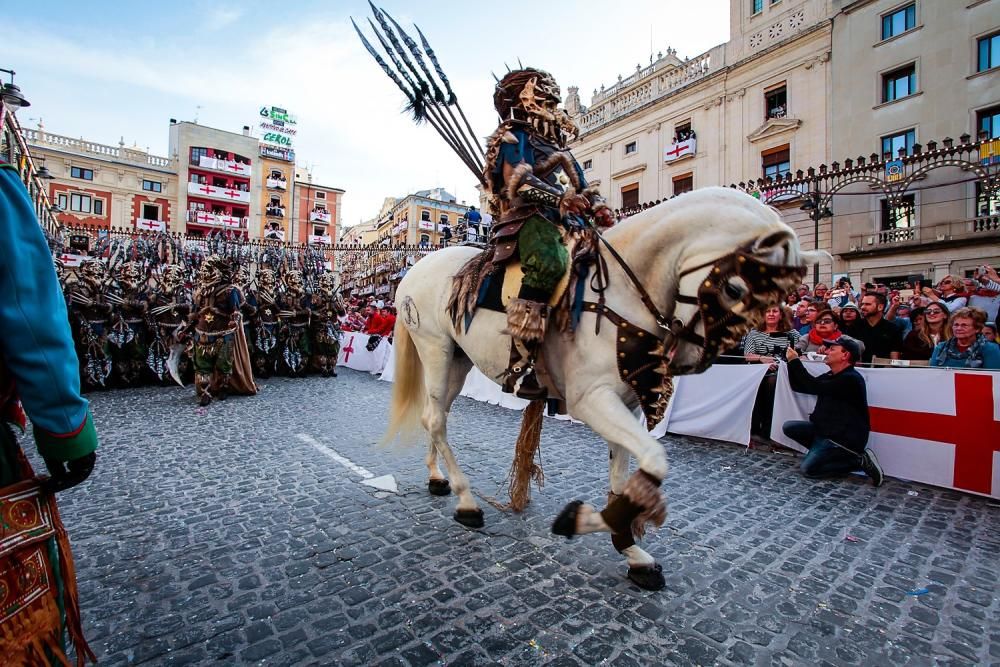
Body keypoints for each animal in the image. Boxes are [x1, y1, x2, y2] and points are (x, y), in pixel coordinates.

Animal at [382, 188, 820, 588]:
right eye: (734, 289)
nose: (690, 359)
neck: (623, 294)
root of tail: (416, 269)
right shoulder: (591, 400)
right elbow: (655, 459)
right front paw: (581, 522)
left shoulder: (626, 404)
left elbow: (625, 473)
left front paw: (632, 550)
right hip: (436, 349)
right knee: (435, 418)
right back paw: (467, 502)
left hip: (459, 359)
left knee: (435, 415)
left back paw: (437, 477)